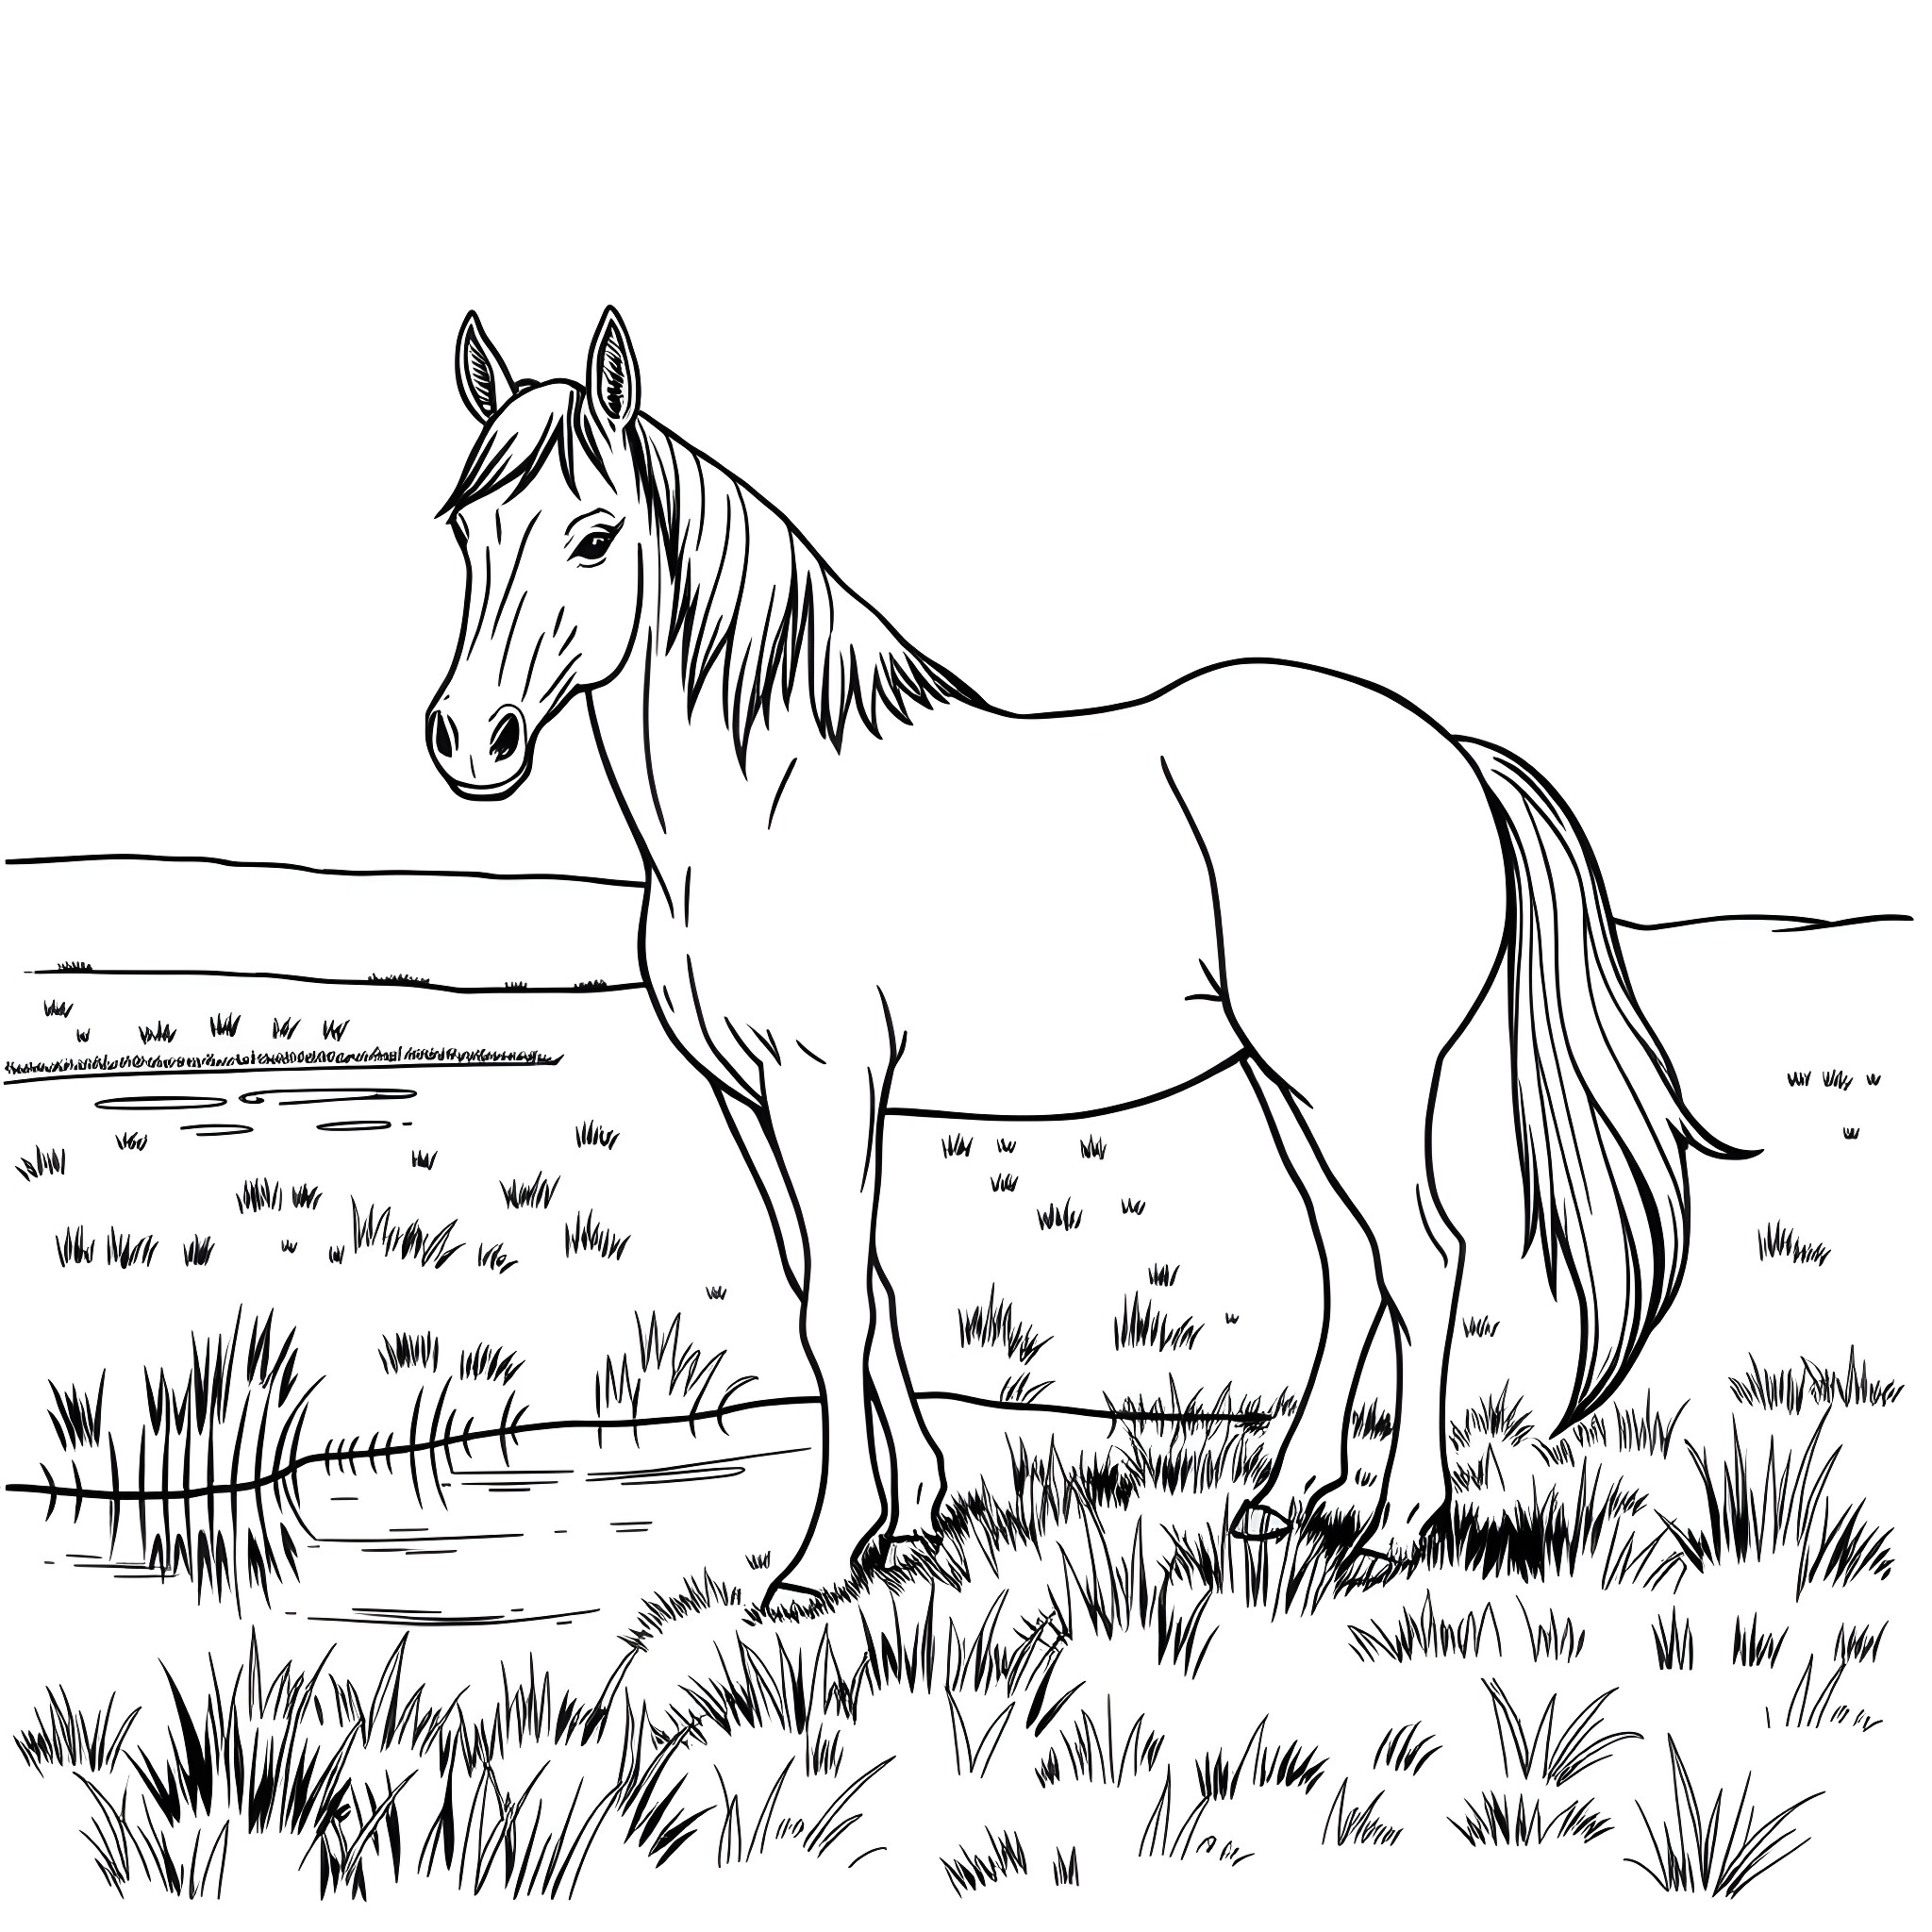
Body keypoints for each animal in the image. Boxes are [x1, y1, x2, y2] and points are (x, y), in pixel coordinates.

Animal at [425, 306, 1744, 1606]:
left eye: (595, 537)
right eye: (465, 532)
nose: (469, 740)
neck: (767, 801)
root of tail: (1453, 754)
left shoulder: (824, 1087)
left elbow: (834, 1311)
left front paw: (818, 1558)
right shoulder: (751, 1098)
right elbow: (852, 1290)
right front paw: (910, 1517)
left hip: (1357, 1084)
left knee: (1421, 1263)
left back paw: (1392, 1530)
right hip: (1286, 1084)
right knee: (1350, 1261)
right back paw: (1280, 1499)